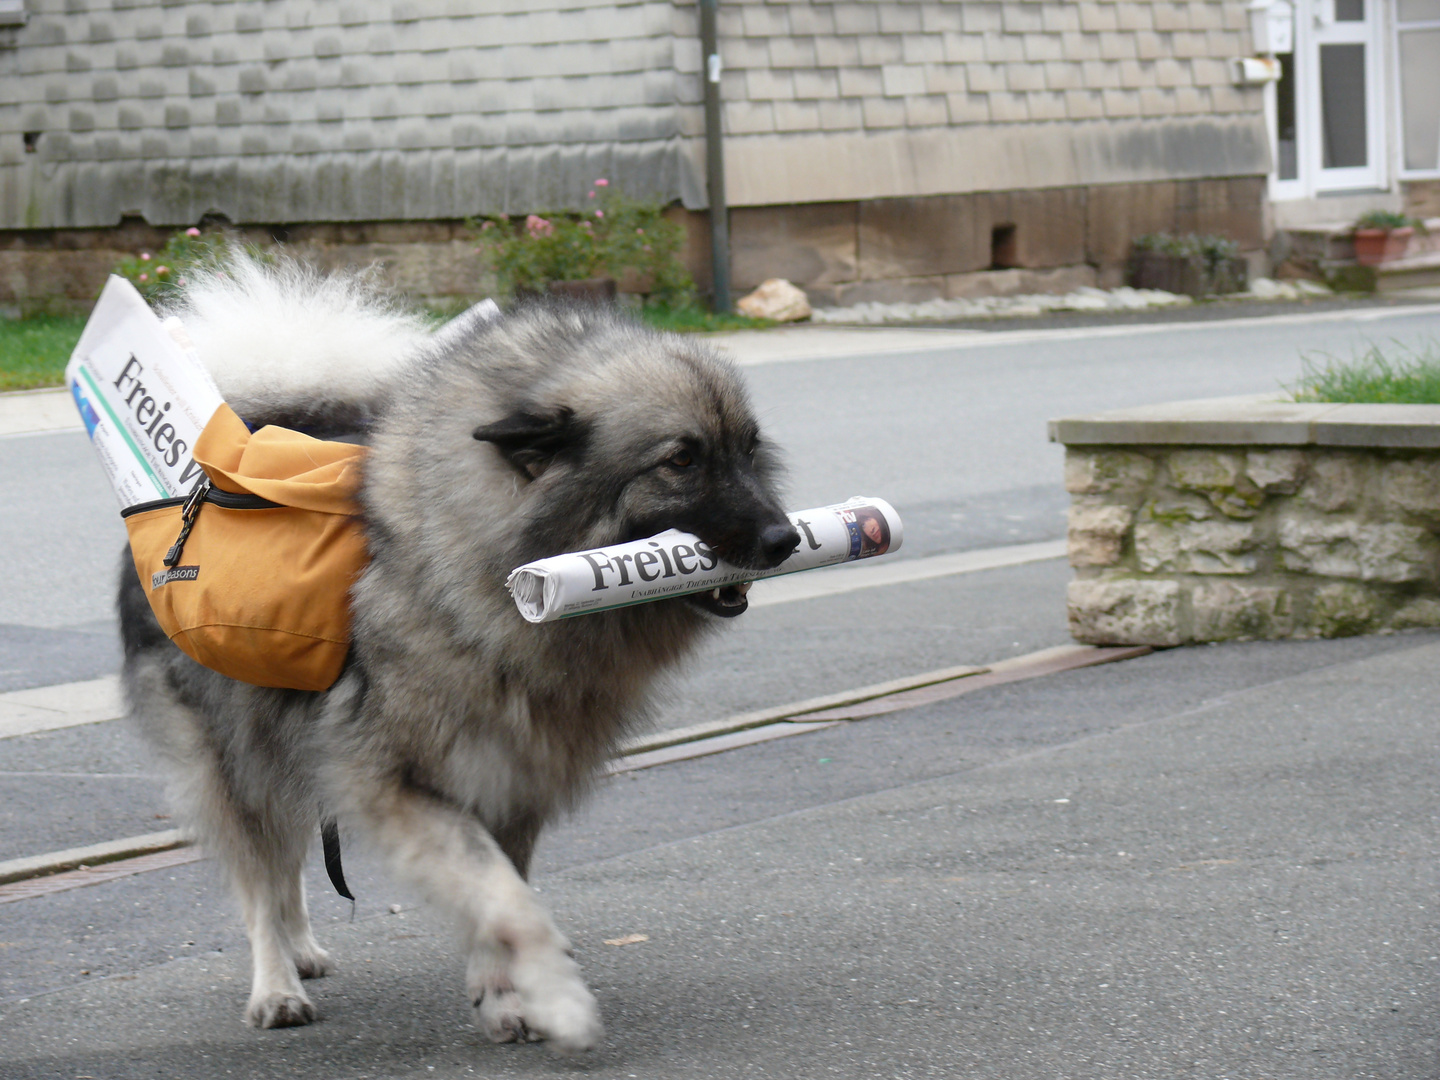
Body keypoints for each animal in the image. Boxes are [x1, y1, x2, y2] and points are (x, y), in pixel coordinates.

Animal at [119, 260, 800, 1048]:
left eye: (748, 450)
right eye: (682, 460)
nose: (786, 539)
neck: (476, 573)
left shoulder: (510, 782)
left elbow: (494, 898)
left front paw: (504, 997)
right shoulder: (401, 785)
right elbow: (507, 902)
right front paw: (557, 997)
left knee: (285, 869)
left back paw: (304, 950)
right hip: (235, 755)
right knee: (261, 875)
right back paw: (277, 984)